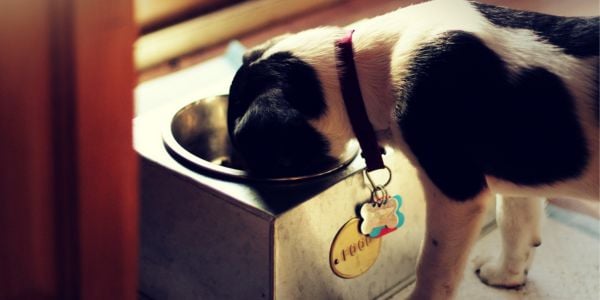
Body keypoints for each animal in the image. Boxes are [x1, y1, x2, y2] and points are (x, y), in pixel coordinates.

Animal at [227, 0, 596, 298]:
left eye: (256, 152)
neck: (355, 70)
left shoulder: (456, 194)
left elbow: (432, 268)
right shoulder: (516, 175)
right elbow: (516, 225)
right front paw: (505, 276)